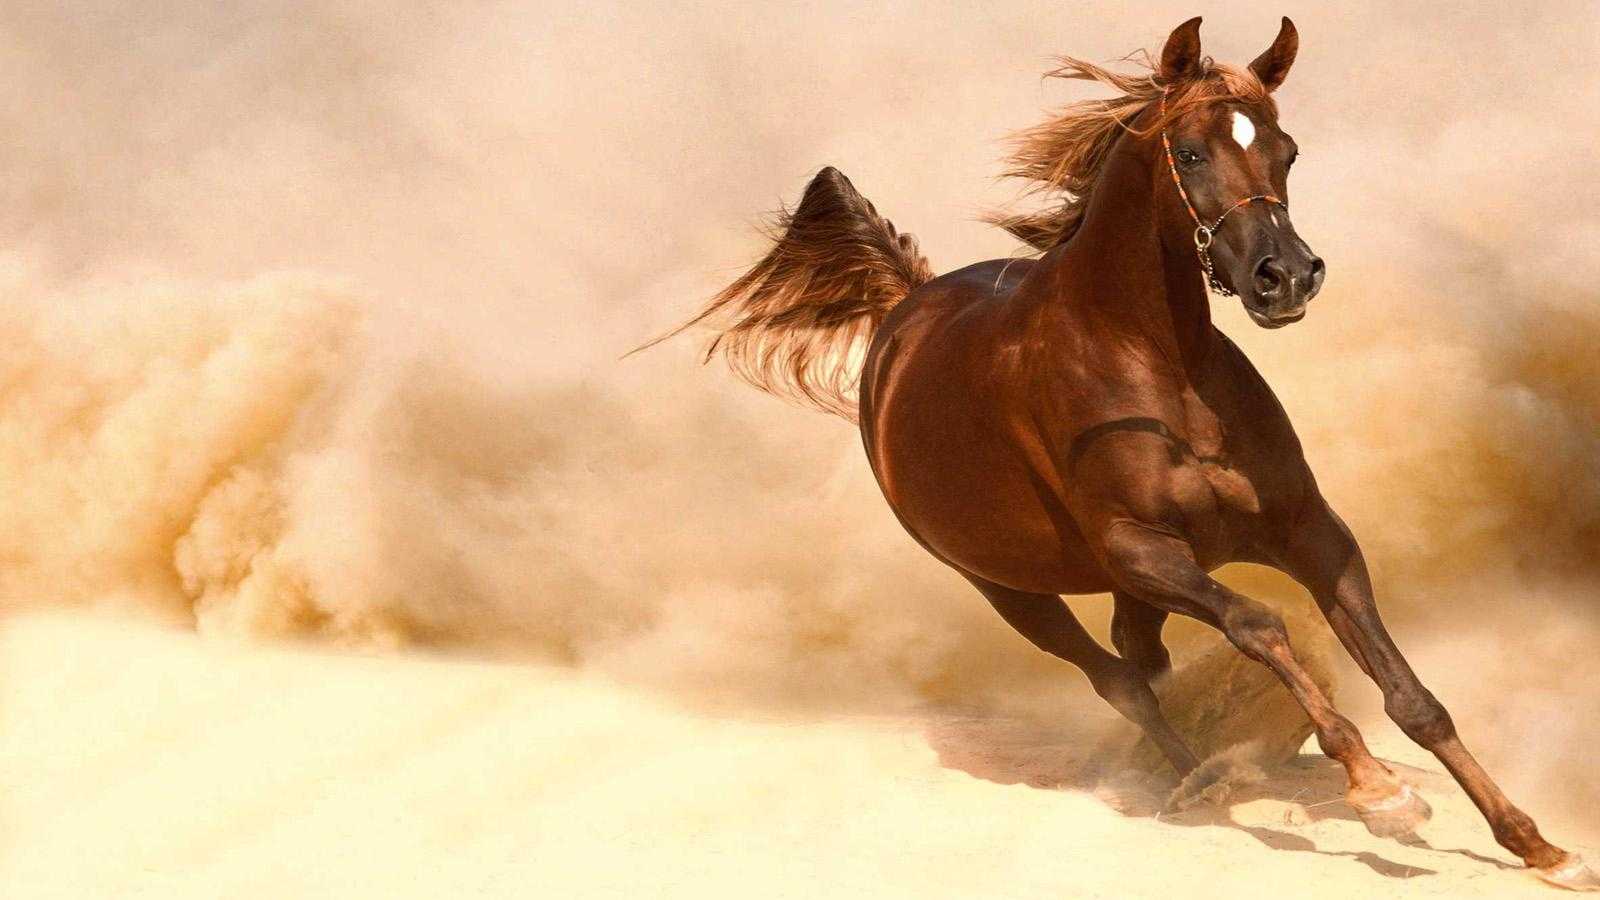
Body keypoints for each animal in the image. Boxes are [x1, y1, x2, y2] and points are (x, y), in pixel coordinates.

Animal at [651, 16, 1597, 890]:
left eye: (1287, 150)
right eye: (1190, 151)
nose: (1285, 277)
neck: (1157, 370)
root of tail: (904, 312)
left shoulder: (1308, 533)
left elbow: (1414, 697)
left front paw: (1537, 844)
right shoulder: (1143, 550)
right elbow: (1260, 624)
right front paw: (1375, 789)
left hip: (1126, 590)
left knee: (1143, 662)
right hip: (1010, 590)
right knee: (1120, 681)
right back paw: (1198, 783)